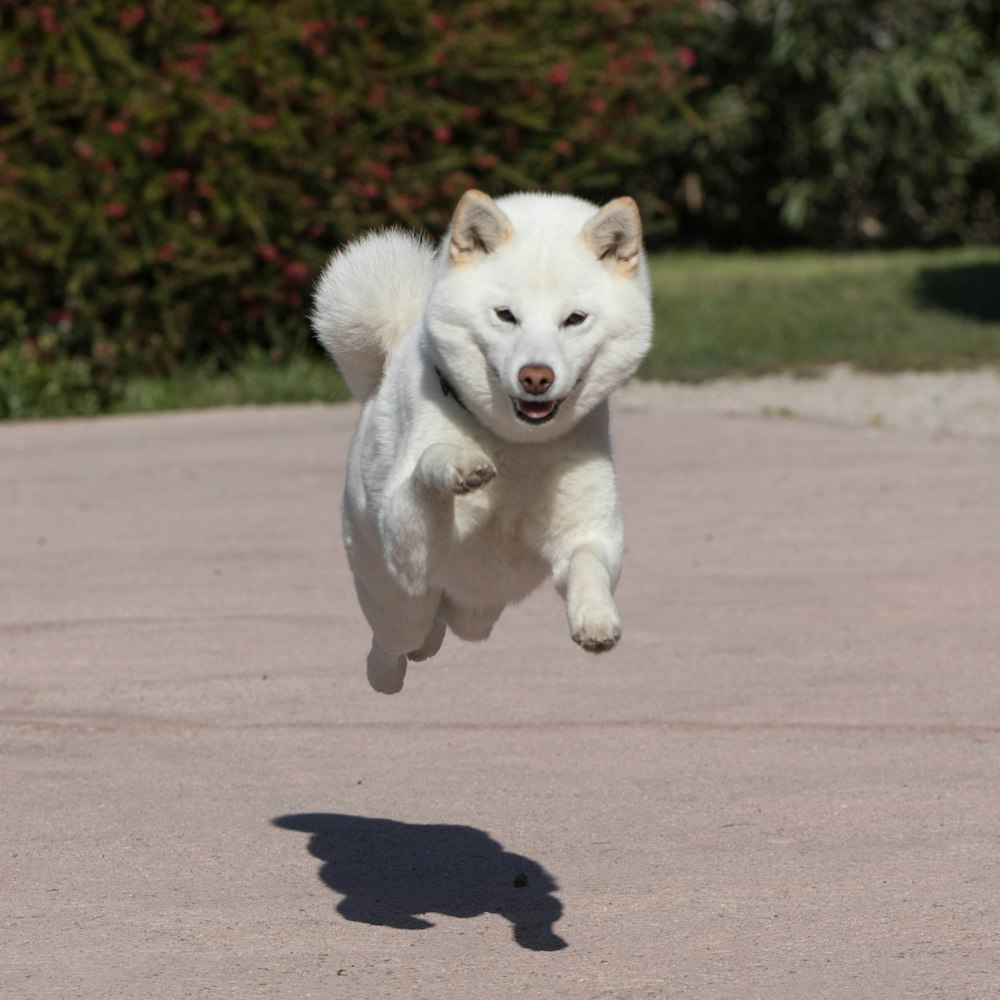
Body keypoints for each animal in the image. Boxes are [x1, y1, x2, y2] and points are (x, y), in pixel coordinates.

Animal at [316, 193, 652, 696]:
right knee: (396, 641)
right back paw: (386, 672)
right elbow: (429, 468)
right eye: (506, 315)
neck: (516, 445)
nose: (536, 377)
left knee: (443, 626)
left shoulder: (590, 530)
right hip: (396, 597)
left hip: (476, 611)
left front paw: (595, 619)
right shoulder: (410, 546)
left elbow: (589, 565)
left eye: (574, 319)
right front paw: (458, 465)